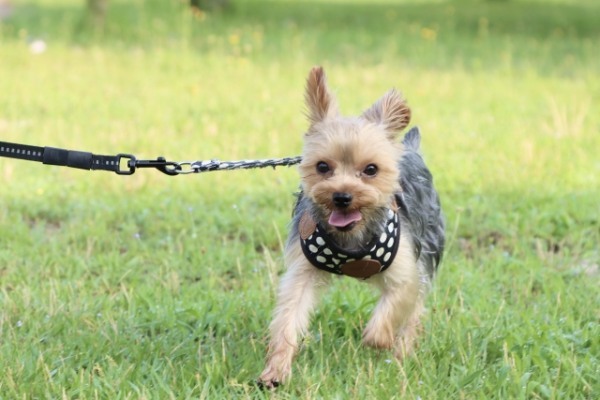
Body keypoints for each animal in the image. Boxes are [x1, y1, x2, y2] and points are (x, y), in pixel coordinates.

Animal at [258, 66, 446, 388]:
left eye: (371, 169)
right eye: (322, 166)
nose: (342, 196)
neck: (350, 237)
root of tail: (409, 148)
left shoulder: (406, 270)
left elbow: (397, 304)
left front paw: (378, 339)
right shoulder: (302, 272)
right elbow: (289, 316)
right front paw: (276, 370)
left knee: (415, 310)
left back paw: (401, 353)